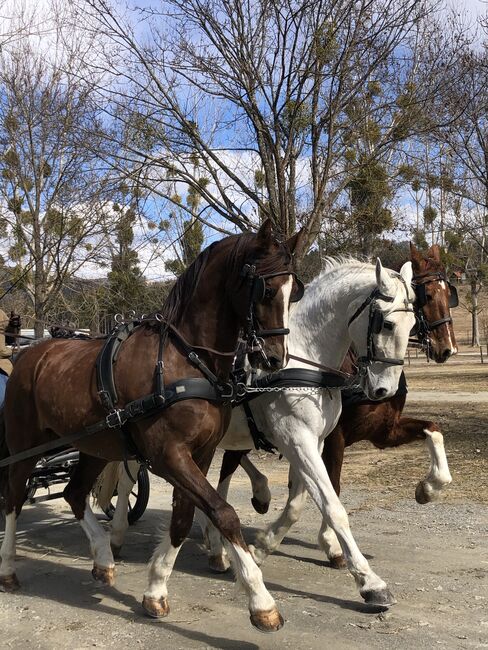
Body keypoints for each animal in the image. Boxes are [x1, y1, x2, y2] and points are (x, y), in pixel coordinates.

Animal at [0, 220, 304, 632]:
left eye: (293, 293)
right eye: (267, 289)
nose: (273, 359)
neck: (186, 358)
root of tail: (30, 354)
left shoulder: (201, 454)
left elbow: (184, 517)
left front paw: (156, 589)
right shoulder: (168, 455)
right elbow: (223, 512)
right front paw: (261, 601)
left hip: (96, 447)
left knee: (75, 493)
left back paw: (103, 559)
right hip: (24, 449)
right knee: (14, 499)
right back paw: (8, 569)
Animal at [98, 256, 416, 608]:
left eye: (413, 324)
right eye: (387, 324)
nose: (385, 390)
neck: (304, 361)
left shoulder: (313, 442)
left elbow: (297, 503)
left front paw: (262, 545)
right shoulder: (296, 439)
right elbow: (333, 507)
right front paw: (370, 582)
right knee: (128, 479)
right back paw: (117, 536)